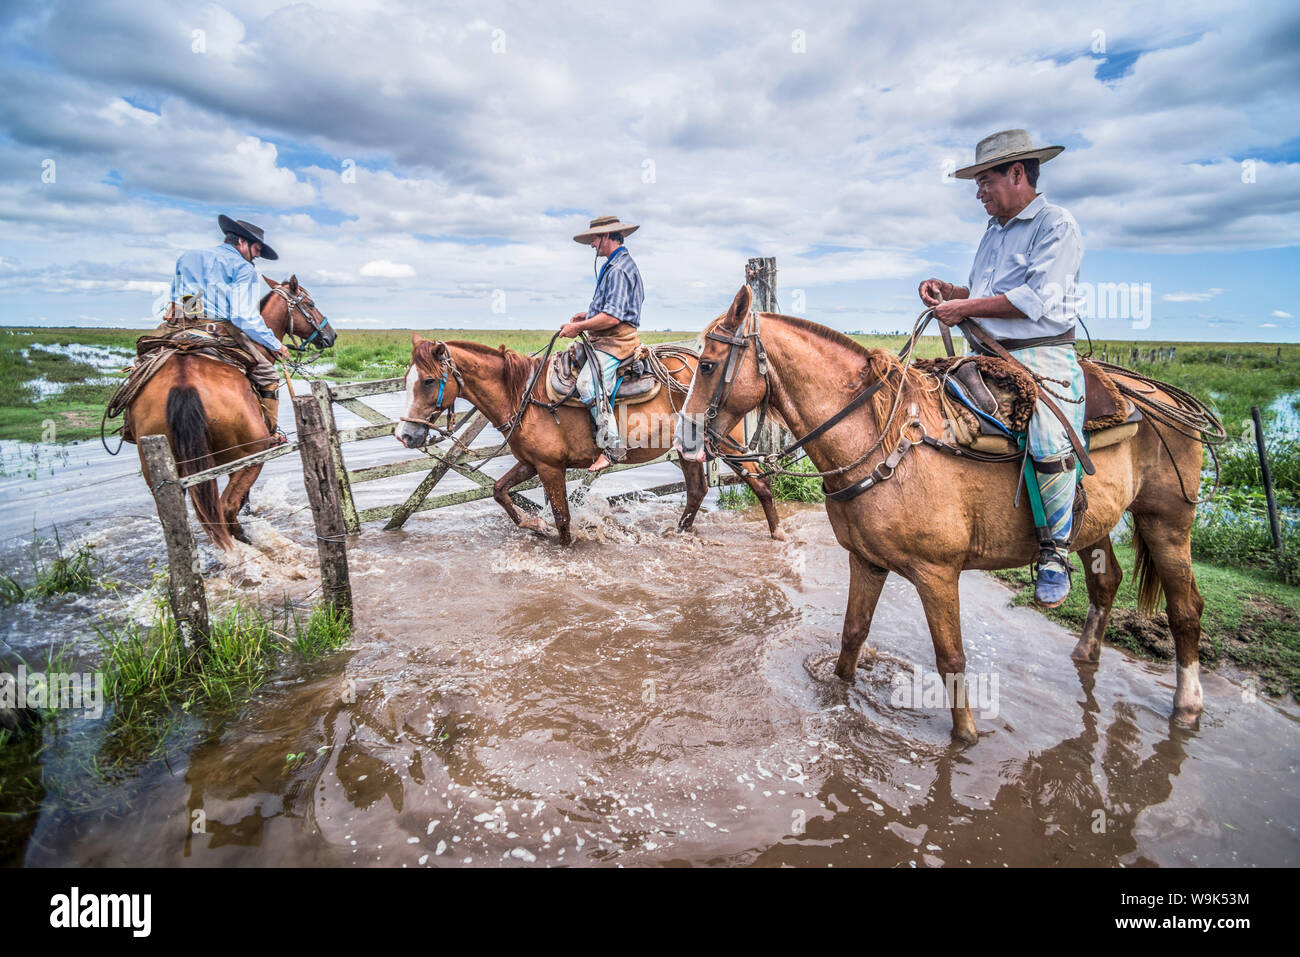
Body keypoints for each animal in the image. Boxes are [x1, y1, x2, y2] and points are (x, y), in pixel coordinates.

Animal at [128, 273, 335, 548]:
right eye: (310, 304)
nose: (331, 335)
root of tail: (184, 383)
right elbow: (240, 499)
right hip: (251, 455)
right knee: (226, 507)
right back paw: (244, 540)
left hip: (161, 472)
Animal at [392, 335, 780, 546]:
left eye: (428, 381)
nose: (406, 435)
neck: (523, 395)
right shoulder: (530, 462)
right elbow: (499, 490)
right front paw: (533, 525)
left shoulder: (550, 467)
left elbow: (563, 517)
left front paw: (561, 544)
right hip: (689, 450)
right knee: (698, 491)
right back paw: (679, 533)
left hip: (726, 445)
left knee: (760, 483)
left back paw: (777, 533)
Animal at [676, 286, 1211, 748]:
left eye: (708, 364)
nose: (683, 437)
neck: (885, 444)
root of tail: (1158, 396)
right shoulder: (865, 561)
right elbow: (852, 637)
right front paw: (841, 694)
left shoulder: (937, 574)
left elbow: (951, 657)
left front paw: (966, 737)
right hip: (1097, 525)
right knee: (1106, 580)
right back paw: (1085, 653)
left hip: (1167, 520)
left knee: (1185, 609)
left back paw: (1187, 705)